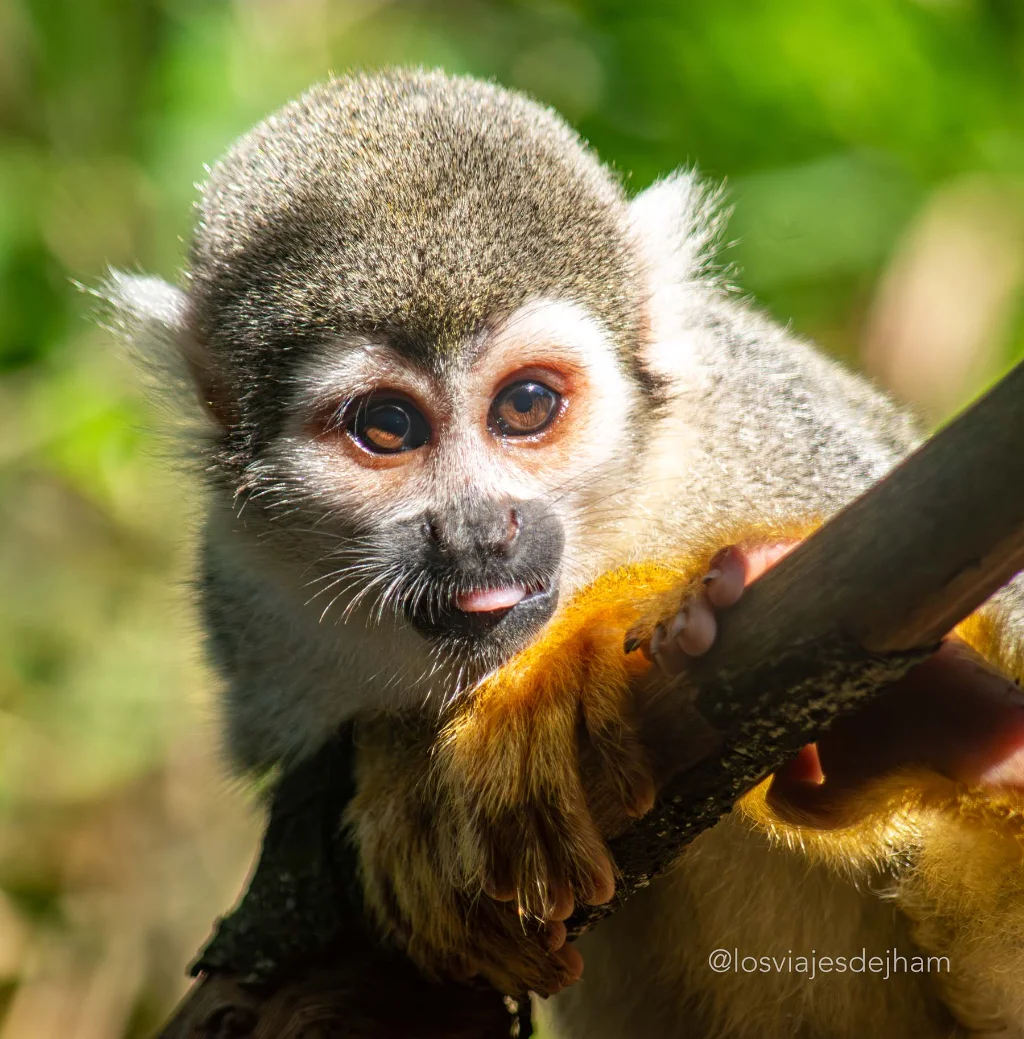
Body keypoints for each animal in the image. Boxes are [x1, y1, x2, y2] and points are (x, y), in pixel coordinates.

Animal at [103, 70, 1024, 1038]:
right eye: (387, 425)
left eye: (527, 405)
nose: (478, 529)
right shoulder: (249, 601)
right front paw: (398, 775)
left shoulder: (791, 449)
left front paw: (579, 650)